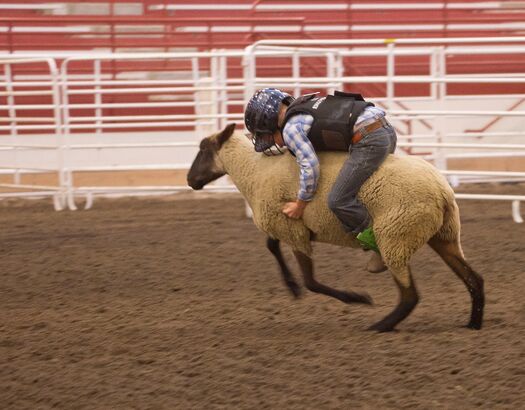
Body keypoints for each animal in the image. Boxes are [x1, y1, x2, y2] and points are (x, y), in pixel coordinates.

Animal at [187, 123, 484, 332]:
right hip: (443, 235)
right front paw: (291, 286)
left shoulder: (293, 230)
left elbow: (311, 282)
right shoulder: (289, 225)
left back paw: (380, 325)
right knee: (474, 279)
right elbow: (271, 245)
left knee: (410, 295)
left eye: (203, 149)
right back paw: (473, 322)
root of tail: (443, 192)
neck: (253, 171)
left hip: (395, 237)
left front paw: (356, 298)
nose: (190, 180)